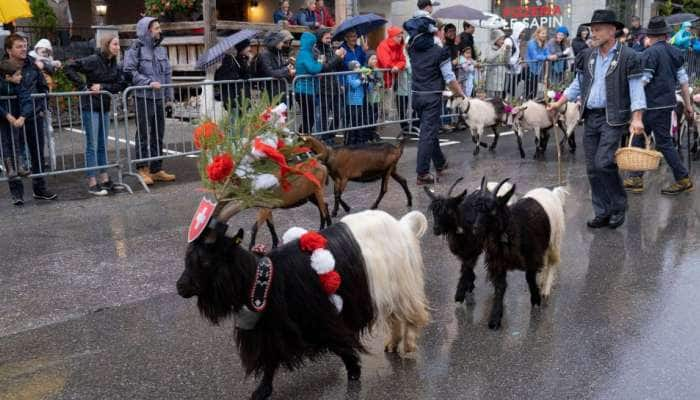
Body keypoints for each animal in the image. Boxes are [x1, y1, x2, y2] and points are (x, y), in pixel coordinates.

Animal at [176, 203, 426, 400]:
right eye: (188, 257)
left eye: (205, 261)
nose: (180, 287)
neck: (264, 279)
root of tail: (401, 225)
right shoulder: (273, 329)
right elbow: (270, 359)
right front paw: (261, 391)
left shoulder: (320, 319)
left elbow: (341, 344)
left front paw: (354, 373)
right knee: (394, 317)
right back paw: (392, 344)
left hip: (402, 284)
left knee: (411, 314)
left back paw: (408, 344)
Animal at [468, 178, 568, 328]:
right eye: (476, 208)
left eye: (493, 210)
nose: (476, 229)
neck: (512, 227)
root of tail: (552, 192)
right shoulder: (498, 262)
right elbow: (500, 287)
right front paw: (495, 318)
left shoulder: (532, 257)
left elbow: (529, 278)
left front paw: (536, 299)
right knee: (545, 262)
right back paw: (542, 282)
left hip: (555, 239)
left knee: (551, 263)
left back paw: (545, 290)